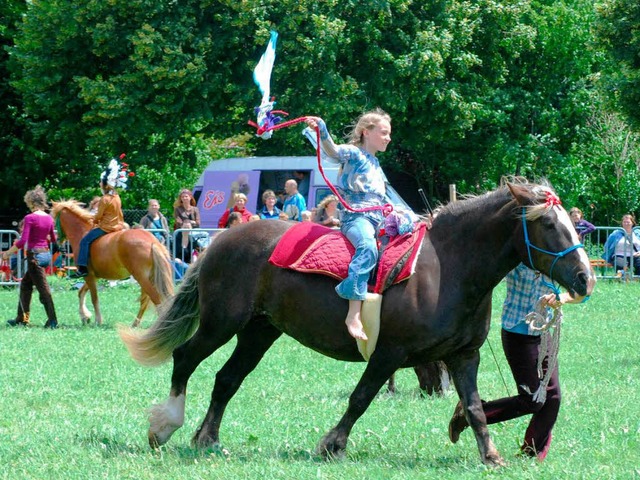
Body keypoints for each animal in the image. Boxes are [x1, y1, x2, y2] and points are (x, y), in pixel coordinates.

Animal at [119, 183, 596, 464]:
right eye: (548, 223)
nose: (584, 278)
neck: (449, 268)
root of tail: (219, 242)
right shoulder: (388, 354)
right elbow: (361, 398)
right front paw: (332, 444)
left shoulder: (464, 357)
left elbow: (476, 408)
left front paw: (491, 455)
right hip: (222, 323)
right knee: (186, 358)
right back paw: (165, 426)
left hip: (259, 331)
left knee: (226, 379)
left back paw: (207, 438)